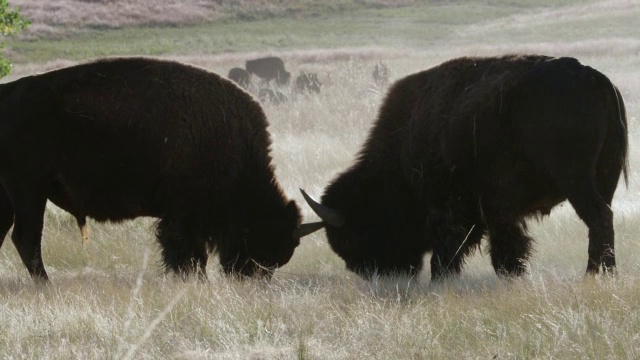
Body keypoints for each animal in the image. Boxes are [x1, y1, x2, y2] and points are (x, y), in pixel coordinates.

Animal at [0, 57, 318, 282]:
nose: (249, 277)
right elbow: (187, 254)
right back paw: (46, 285)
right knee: (26, 238)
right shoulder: (183, 216)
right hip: (30, 190)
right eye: (262, 238)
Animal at [302, 55, 632, 282]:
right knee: (603, 218)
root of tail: (593, 77)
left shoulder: (449, 208)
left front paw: (441, 280)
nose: (373, 273)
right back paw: (605, 273)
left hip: (576, 181)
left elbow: (449, 252)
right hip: (605, 178)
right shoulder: (497, 211)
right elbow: (505, 247)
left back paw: (594, 274)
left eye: (354, 235)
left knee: (598, 218)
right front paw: (512, 275)